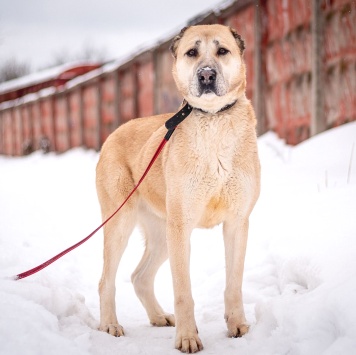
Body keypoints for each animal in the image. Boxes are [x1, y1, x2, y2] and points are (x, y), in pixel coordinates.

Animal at [96, 24, 260, 354]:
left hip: (162, 234)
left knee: (139, 277)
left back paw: (158, 317)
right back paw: (110, 325)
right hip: (123, 224)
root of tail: (115, 131)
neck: (213, 119)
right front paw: (187, 337)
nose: (207, 75)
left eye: (222, 51)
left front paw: (237, 326)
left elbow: (234, 283)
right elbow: (183, 291)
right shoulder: (181, 227)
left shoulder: (237, 223)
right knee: (106, 280)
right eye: (192, 52)